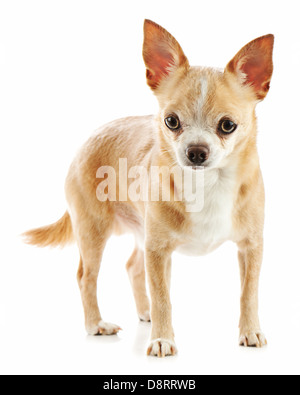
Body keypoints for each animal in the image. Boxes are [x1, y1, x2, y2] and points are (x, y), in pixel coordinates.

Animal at [24, 19, 274, 358]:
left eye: (227, 125)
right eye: (171, 121)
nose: (196, 151)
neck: (206, 185)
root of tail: (86, 141)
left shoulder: (251, 247)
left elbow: (248, 293)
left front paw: (250, 331)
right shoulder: (159, 251)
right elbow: (162, 296)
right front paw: (162, 339)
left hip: (139, 232)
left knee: (132, 266)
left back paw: (145, 313)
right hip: (94, 231)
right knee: (86, 276)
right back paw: (96, 324)